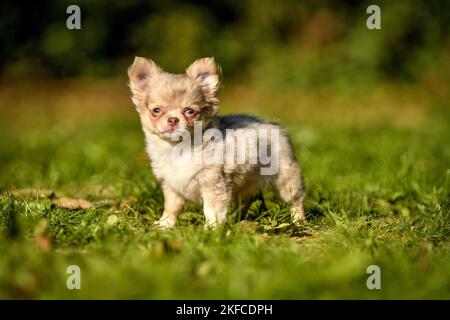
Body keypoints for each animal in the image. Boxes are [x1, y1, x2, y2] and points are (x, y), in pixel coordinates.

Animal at [127, 57, 306, 228]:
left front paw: (211, 229)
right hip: (245, 185)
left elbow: (211, 210)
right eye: (156, 111)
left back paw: (298, 221)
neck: (178, 149)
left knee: (296, 200)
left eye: (190, 111)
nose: (173, 119)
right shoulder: (172, 186)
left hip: (286, 179)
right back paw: (237, 219)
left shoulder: (213, 184)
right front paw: (164, 224)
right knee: (245, 201)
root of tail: (276, 126)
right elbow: (171, 207)